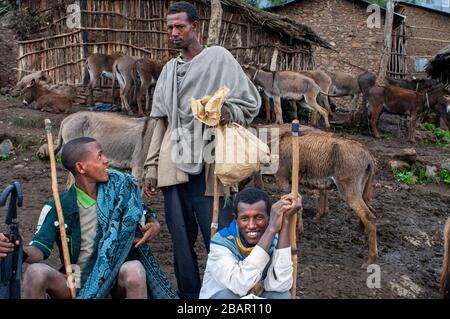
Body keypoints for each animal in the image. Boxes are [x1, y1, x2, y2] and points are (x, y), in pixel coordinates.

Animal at [251, 129, 378, 268]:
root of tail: (369, 157)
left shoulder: (282, 181)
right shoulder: (294, 184)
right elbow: (298, 206)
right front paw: (299, 231)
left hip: (349, 191)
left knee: (369, 217)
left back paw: (371, 259)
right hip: (362, 190)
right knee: (371, 211)